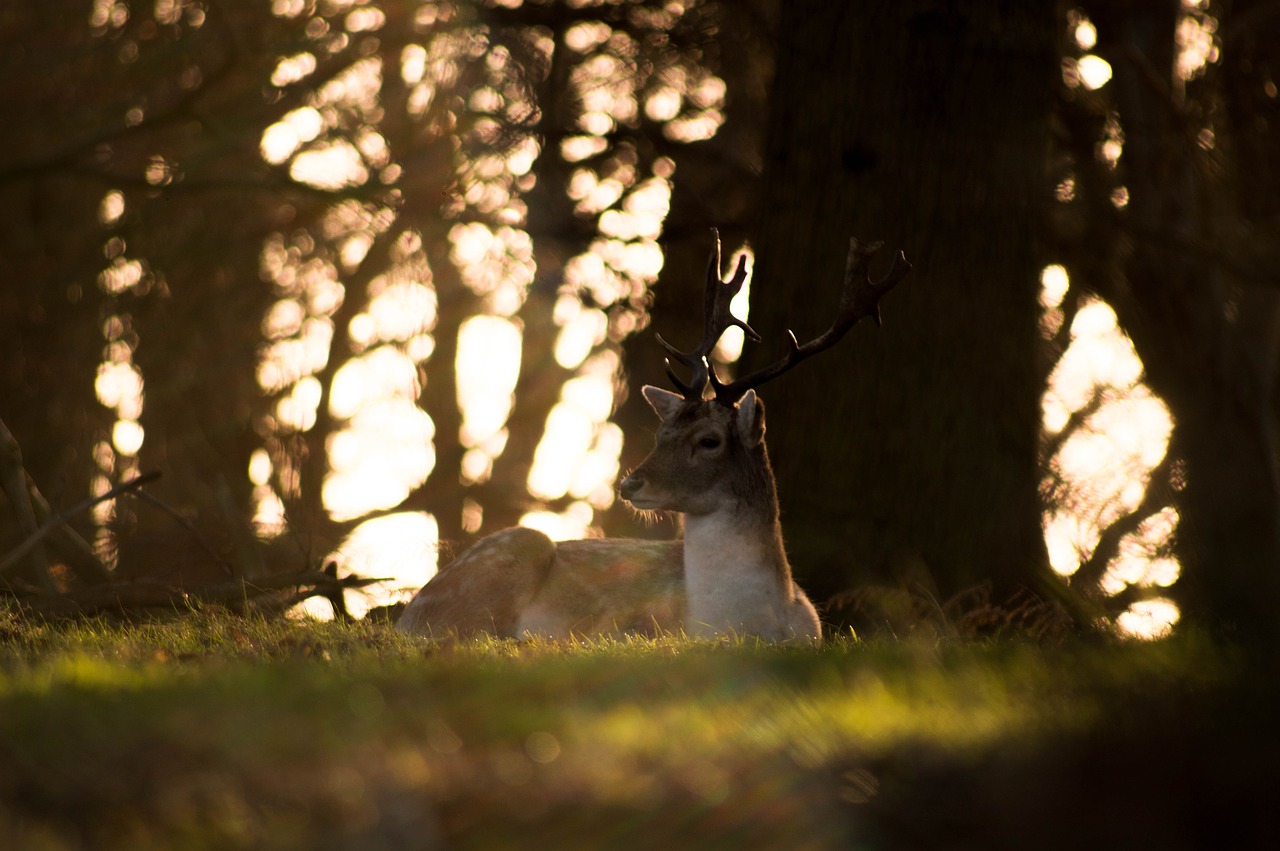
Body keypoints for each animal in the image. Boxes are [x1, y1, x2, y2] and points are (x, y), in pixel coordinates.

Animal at [394, 229, 906, 639]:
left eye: (709, 440)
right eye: (662, 430)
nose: (629, 482)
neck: (744, 625)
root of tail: (406, 615)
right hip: (513, 551)